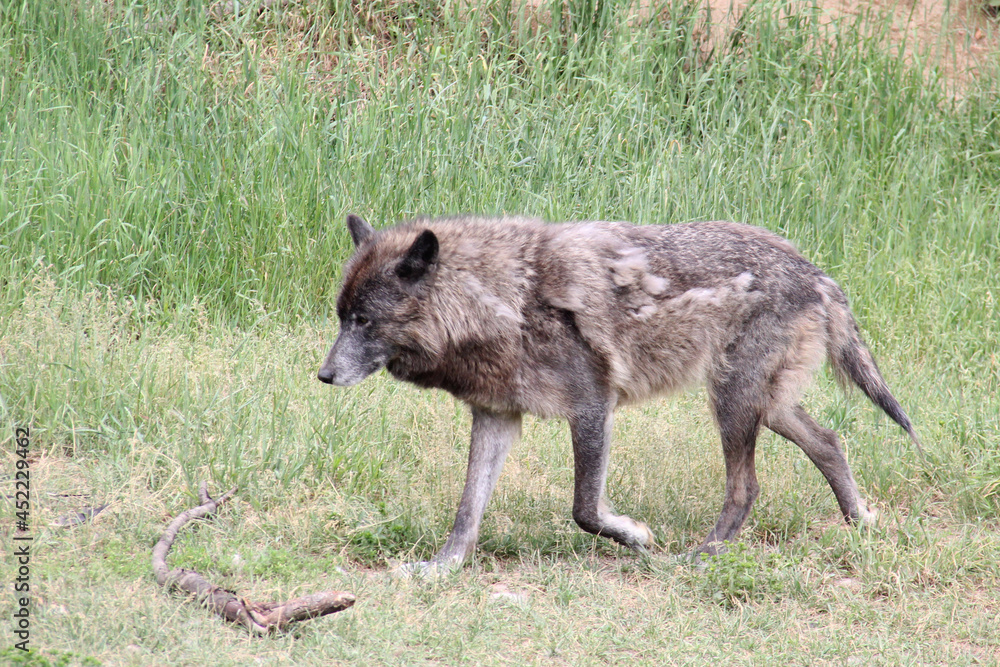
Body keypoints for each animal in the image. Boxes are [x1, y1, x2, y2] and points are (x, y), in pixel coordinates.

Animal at [318, 214, 920, 568]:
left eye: (365, 322)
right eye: (342, 318)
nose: (323, 376)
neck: (502, 301)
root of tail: (817, 272)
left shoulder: (592, 407)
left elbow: (585, 508)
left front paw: (634, 536)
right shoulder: (495, 417)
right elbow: (468, 510)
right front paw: (442, 568)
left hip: (734, 406)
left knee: (747, 487)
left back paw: (701, 557)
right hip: (765, 408)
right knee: (830, 442)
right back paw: (859, 523)